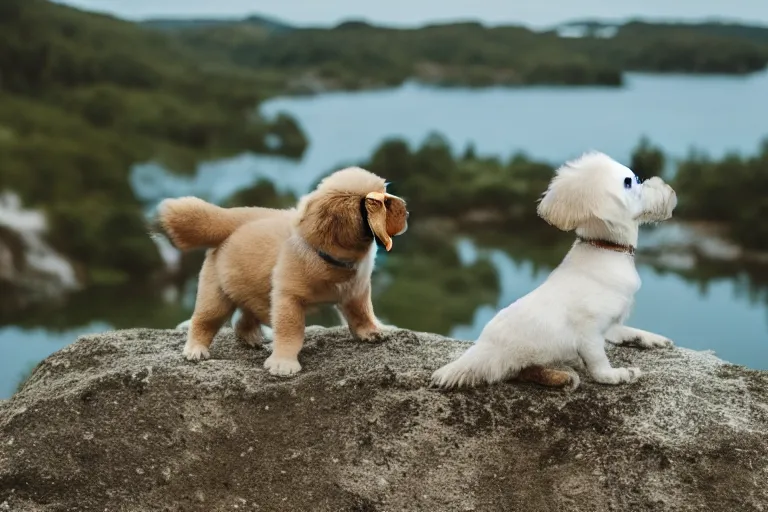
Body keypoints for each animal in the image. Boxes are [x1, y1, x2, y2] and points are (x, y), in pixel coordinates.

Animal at [154, 168, 408, 376]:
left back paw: (253, 338)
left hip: (256, 290)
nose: (406, 212)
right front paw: (283, 363)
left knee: (244, 317)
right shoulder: (288, 299)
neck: (329, 257)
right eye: (381, 204)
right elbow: (290, 332)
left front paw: (371, 331)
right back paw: (195, 349)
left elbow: (362, 313)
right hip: (217, 296)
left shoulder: (355, 292)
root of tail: (232, 222)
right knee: (204, 321)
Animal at [432, 150, 680, 390]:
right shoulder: (588, 332)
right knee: (526, 371)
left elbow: (621, 330)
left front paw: (650, 338)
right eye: (631, 181)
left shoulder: (609, 323)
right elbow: (599, 365)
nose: (670, 190)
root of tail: (481, 348)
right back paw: (564, 376)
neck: (605, 248)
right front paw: (619, 374)